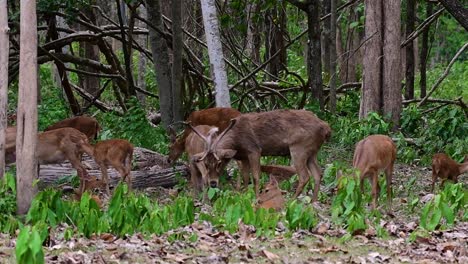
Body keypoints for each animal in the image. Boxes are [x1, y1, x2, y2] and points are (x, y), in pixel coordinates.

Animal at [188, 109, 330, 202]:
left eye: (219, 163)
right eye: (205, 164)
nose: (212, 183)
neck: (237, 142)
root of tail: (326, 127)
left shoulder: (254, 150)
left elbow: (256, 176)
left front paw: (256, 198)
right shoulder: (243, 156)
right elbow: (245, 176)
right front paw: (244, 194)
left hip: (299, 148)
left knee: (305, 176)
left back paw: (292, 200)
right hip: (312, 152)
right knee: (318, 173)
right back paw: (313, 202)